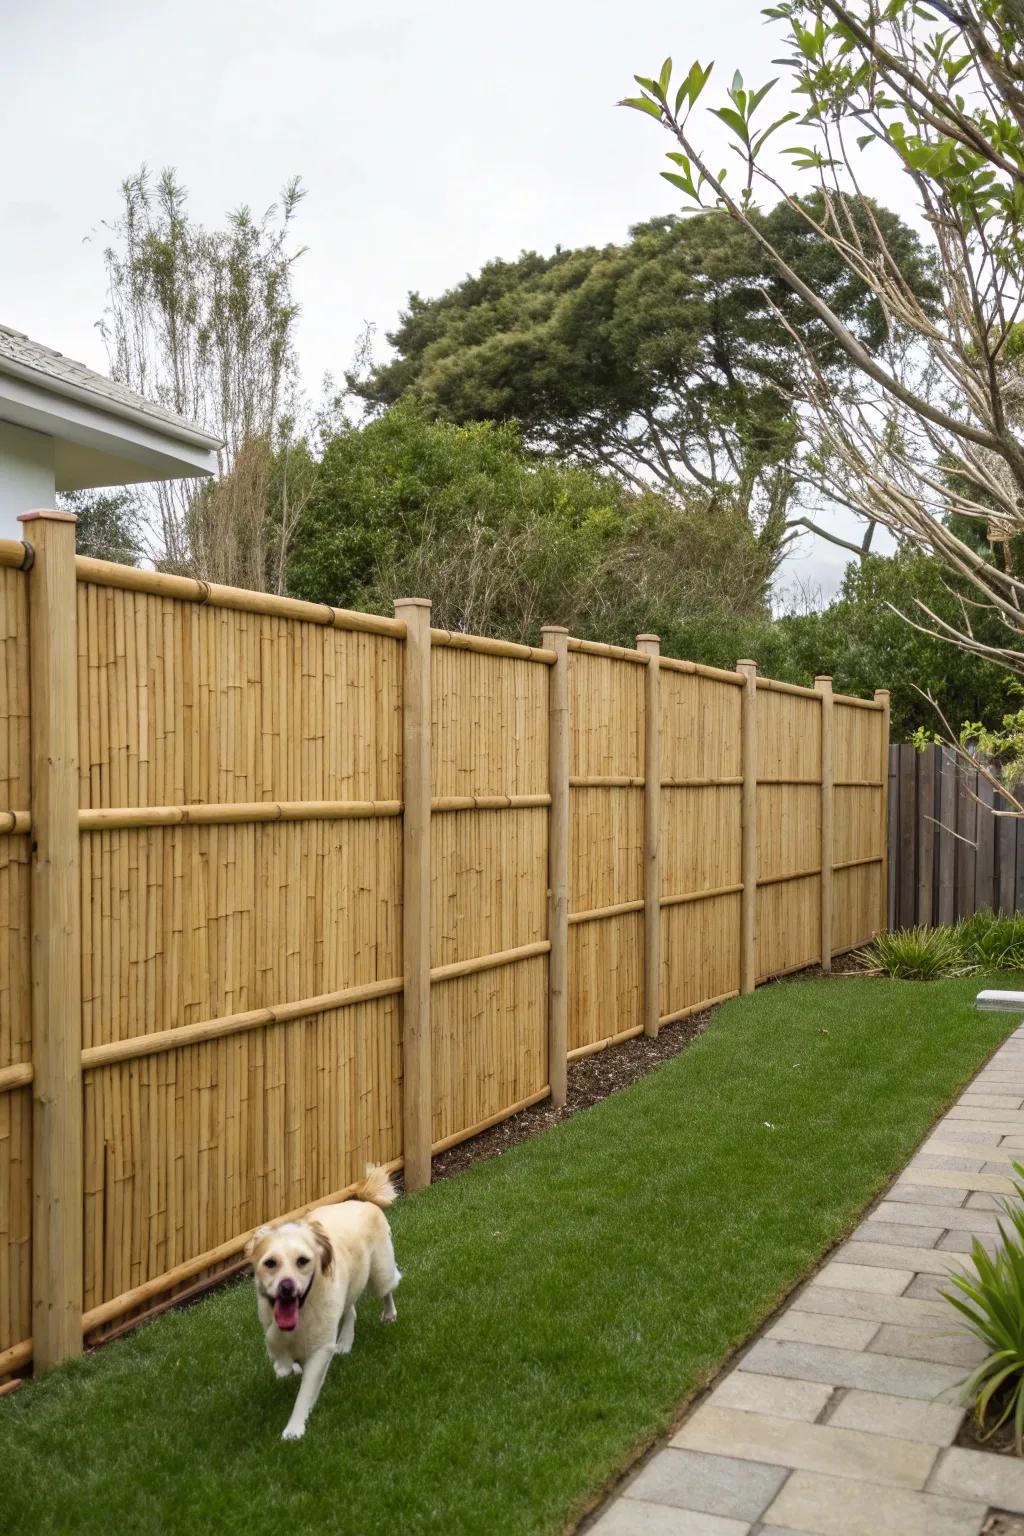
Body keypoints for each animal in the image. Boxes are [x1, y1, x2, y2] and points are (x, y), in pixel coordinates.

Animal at [245, 1161, 402, 1437]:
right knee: (350, 1310)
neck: (302, 1310)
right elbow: (278, 1351)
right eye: (270, 1263)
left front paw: (294, 1429)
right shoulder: (274, 1326)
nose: (286, 1287)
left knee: (387, 1288)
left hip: (380, 1273)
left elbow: (305, 1392)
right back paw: (345, 1342)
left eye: (302, 1261)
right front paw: (286, 1367)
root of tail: (363, 1202)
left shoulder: (319, 1351)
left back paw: (388, 1314)